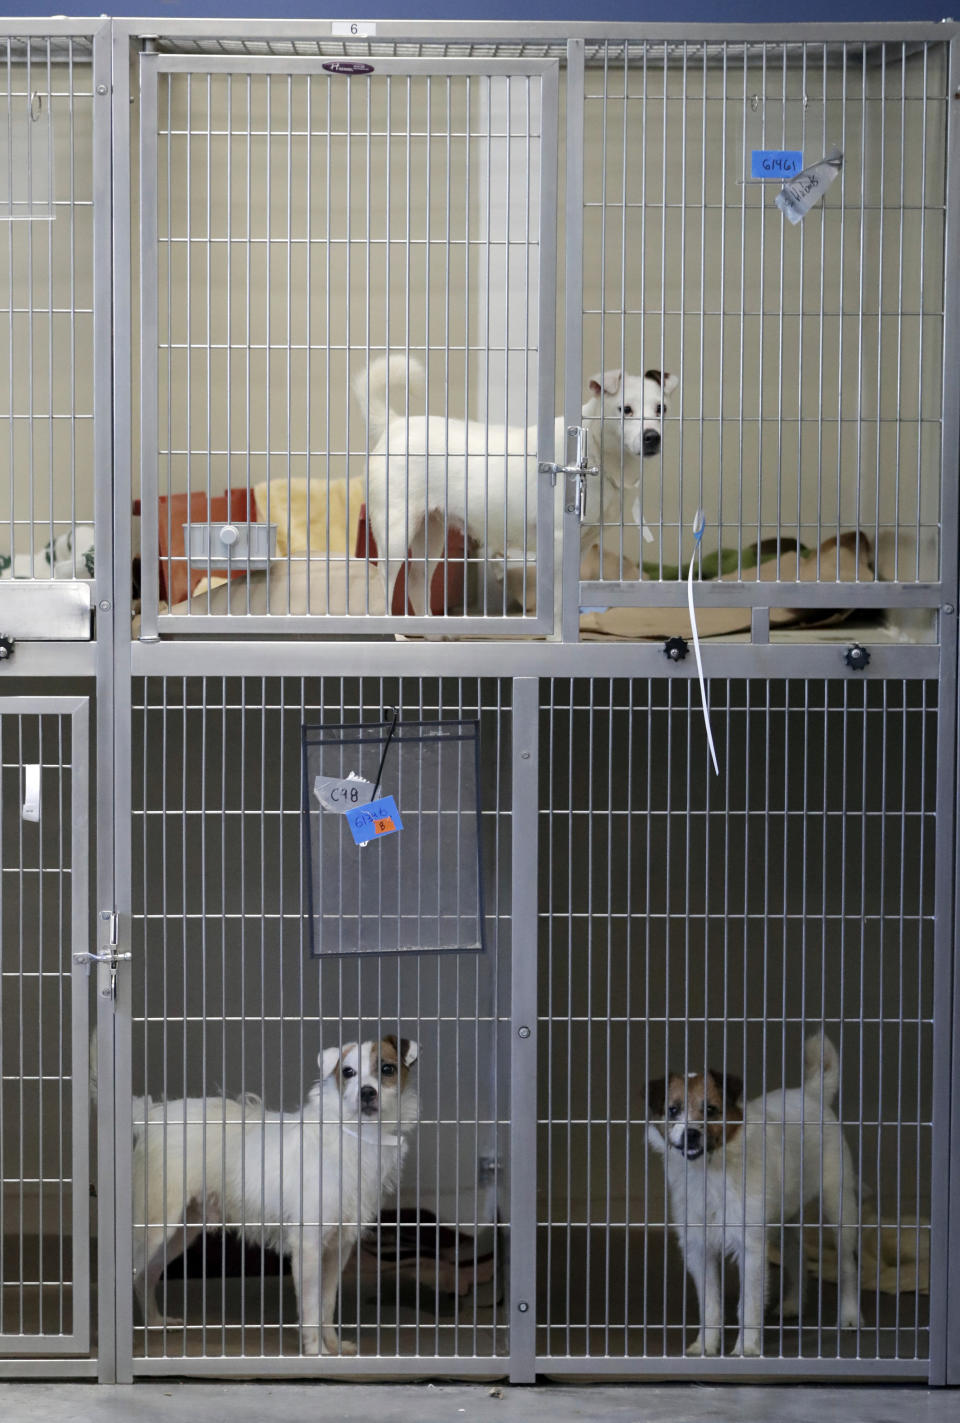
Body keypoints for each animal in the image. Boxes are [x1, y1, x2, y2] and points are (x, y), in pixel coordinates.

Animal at [126, 1035, 418, 1354]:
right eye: (348, 1072)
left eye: (387, 1069)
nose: (367, 1092)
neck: (355, 1135)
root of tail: (152, 1115)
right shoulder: (309, 1246)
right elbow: (311, 1308)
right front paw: (316, 1351)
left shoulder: (338, 1249)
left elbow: (327, 1304)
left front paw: (333, 1346)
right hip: (154, 1227)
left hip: (179, 1231)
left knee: (145, 1276)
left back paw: (154, 1322)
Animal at [352, 352, 676, 609]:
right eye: (625, 409)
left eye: (661, 409)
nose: (652, 438)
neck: (593, 450)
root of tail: (395, 424)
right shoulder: (558, 543)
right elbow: (556, 606)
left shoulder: (582, 545)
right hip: (395, 531)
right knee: (383, 583)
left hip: (430, 532)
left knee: (417, 581)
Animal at [645, 1035, 864, 1354]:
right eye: (673, 1110)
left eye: (711, 1109)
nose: (691, 1134)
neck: (709, 1171)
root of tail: (812, 1094)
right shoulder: (699, 1249)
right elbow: (710, 1305)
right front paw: (706, 1344)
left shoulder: (750, 1247)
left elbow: (747, 1305)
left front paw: (746, 1348)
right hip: (783, 1218)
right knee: (797, 1257)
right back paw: (793, 1304)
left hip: (839, 1207)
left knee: (847, 1264)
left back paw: (849, 1315)